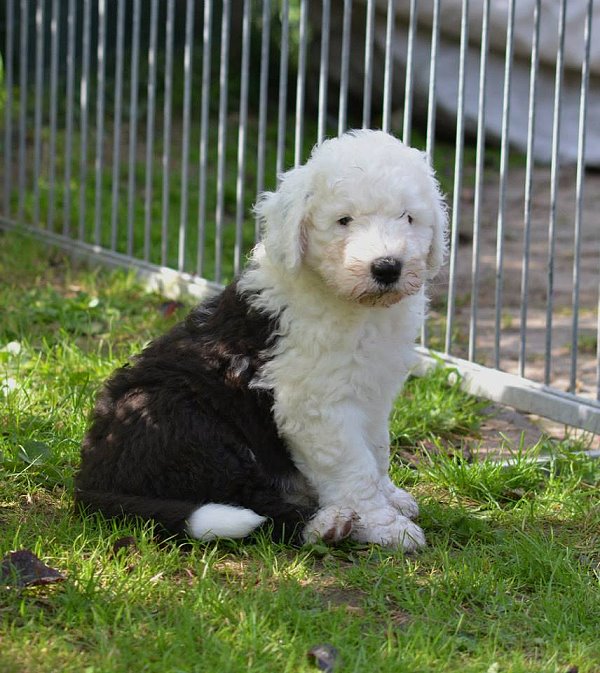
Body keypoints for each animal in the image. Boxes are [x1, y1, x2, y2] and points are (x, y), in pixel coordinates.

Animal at [75, 130, 447, 551]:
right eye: (344, 220)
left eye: (408, 217)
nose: (387, 268)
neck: (357, 308)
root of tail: (90, 479)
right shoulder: (315, 404)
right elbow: (354, 466)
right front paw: (384, 525)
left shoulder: (374, 389)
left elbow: (377, 449)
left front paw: (391, 497)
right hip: (182, 419)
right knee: (246, 500)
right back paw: (324, 523)